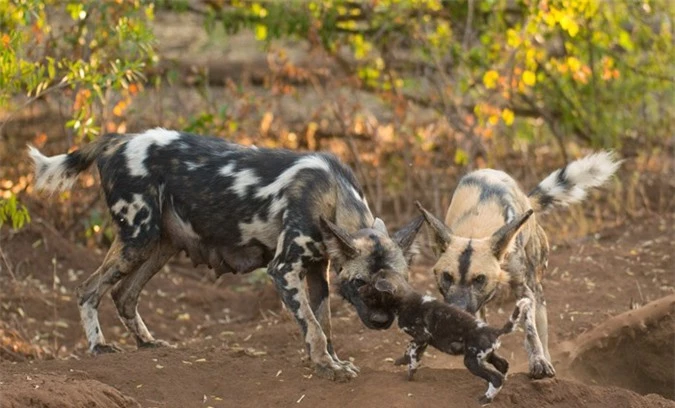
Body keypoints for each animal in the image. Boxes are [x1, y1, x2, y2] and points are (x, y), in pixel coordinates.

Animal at [31, 127, 426, 380]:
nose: (380, 321)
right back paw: (99, 346)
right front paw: (326, 367)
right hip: (137, 239)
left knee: (123, 294)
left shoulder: (318, 271)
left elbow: (324, 326)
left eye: (395, 286)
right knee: (88, 289)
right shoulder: (284, 269)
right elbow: (313, 328)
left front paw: (331, 361)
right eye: (359, 283)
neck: (331, 196)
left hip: (159, 245)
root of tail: (118, 139)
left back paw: (146, 343)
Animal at [362, 266, 532, 404]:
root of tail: (493, 330)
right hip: (487, 356)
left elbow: (411, 351)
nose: (359, 289)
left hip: (471, 361)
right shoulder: (423, 340)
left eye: (371, 284)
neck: (402, 300)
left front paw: (410, 369)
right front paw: (404, 362)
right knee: (503, 366)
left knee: (496, 378)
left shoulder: (421, 336)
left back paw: (486, 399)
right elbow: (410, 350)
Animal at [418, 151, 624, 378]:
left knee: (541, 331)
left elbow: (530, 333)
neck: (477, 228)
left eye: (480, 279)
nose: (457, 310)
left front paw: (538, 362)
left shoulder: (523, 290)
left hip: (536, 290)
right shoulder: (475, 305)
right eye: (447, 276)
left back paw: (545, 359)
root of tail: (526, 199)